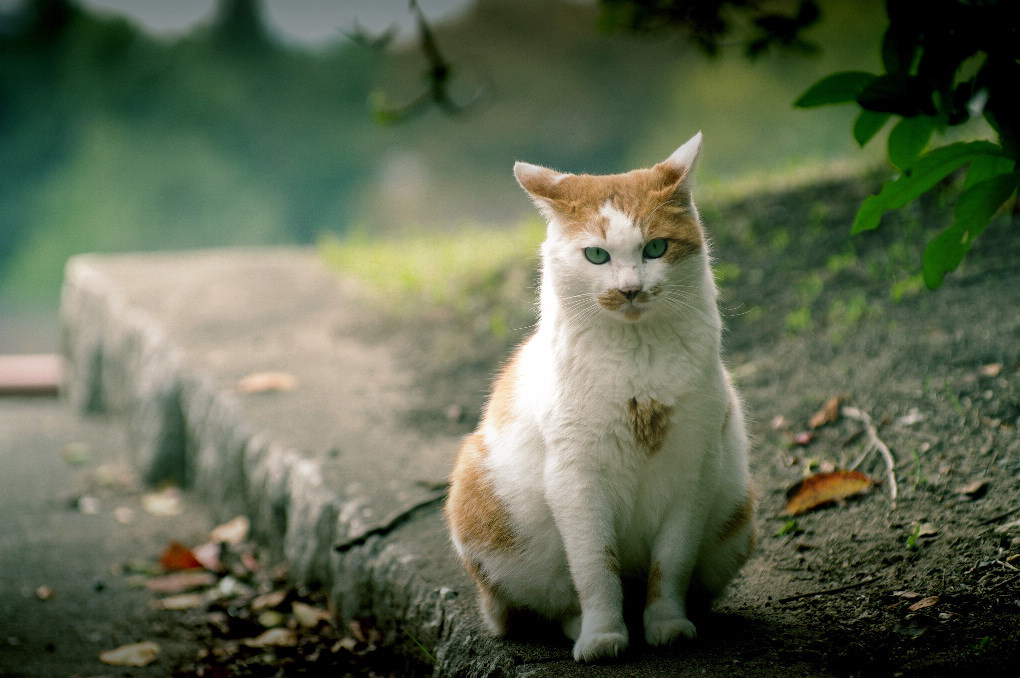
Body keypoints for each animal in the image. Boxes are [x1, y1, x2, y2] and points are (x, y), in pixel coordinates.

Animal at [442, 132, 754, 660]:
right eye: (596, 256)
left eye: (655, 248)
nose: (629, 290)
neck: (637, 362)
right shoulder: (576, 479)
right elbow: (595, 569)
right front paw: (604, 637)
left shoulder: (695, 473)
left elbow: (670, 566)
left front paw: (667, 625)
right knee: (554, 602)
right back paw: (577, 626)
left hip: (737, 515)